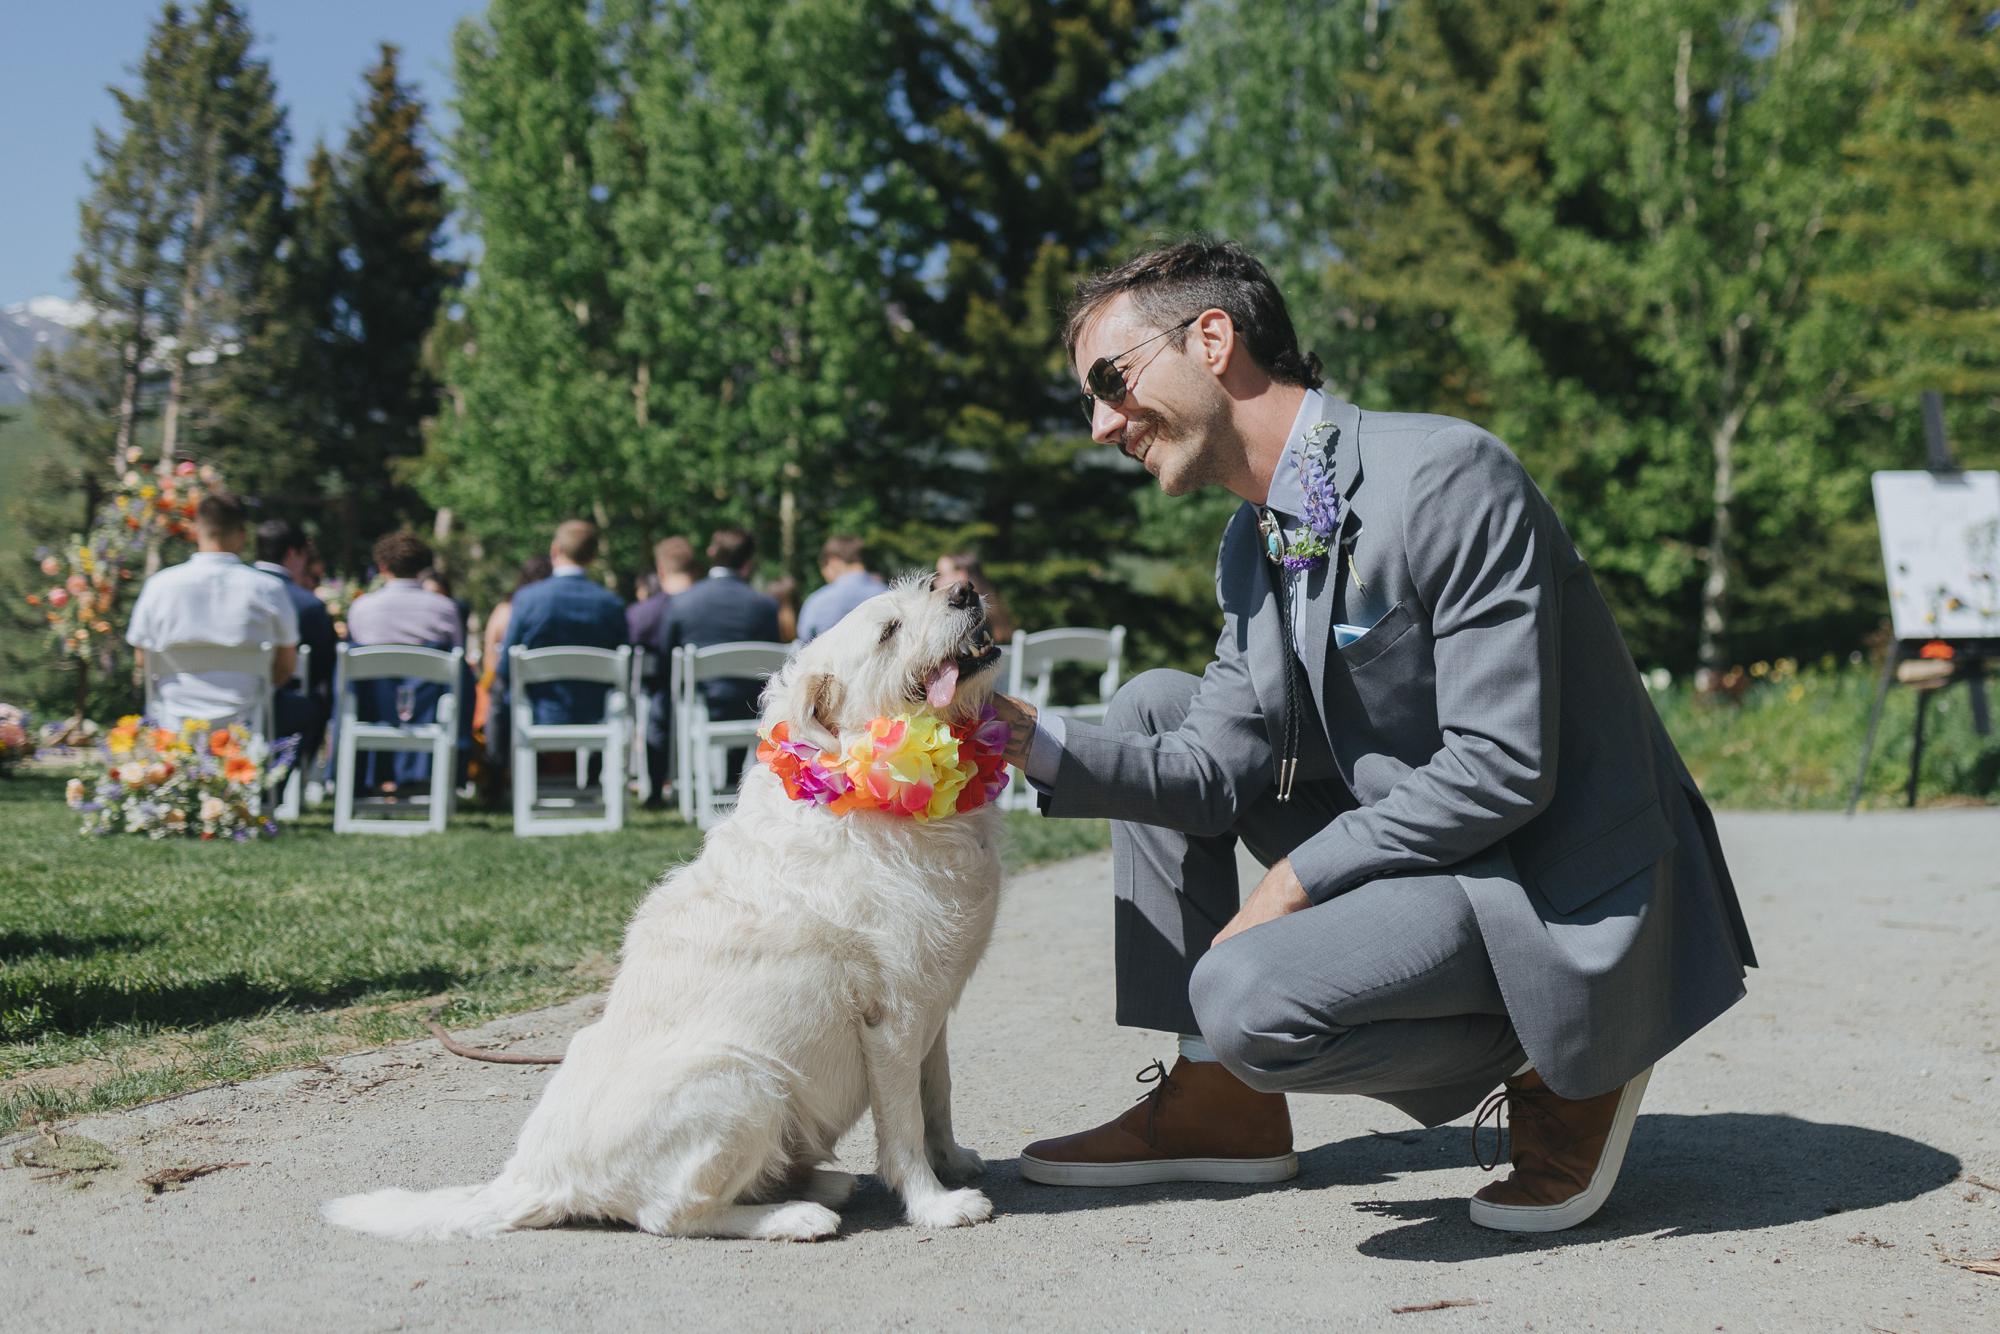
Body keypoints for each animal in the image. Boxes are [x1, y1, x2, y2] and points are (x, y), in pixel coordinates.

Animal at [332, 580, 1016, 1248]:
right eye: (889, 630)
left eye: (927, 587)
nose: (964, 590)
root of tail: (536, 1176)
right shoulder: (893, 1018)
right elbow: (903, 1125)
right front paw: (934, 1204)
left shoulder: (931, 1010)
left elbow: (937, 1095)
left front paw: (953, 1161)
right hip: (741, 1080)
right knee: (674, 1214)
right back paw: (795, 1216)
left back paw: (818, 1185)